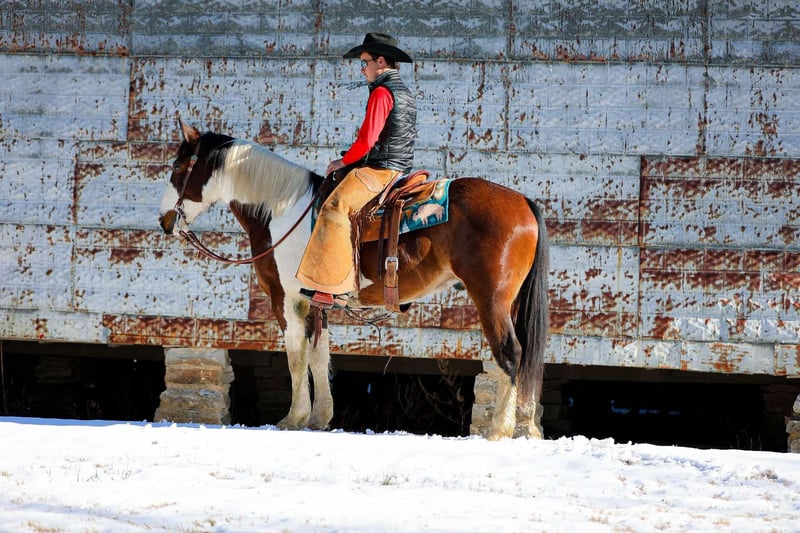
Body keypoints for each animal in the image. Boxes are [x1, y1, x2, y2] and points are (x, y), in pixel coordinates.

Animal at [157, 121, 549, 439]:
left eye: (177, 167)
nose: (164, 220)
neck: (284, 211)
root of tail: (522, 202)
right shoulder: (315, 301)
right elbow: (319, 355)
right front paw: (319, 417)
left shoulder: (285, 298)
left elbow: (296, 355)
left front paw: (293, 418)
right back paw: (524, 427)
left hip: (491, 299)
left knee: (510, 353)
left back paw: (499, 430)